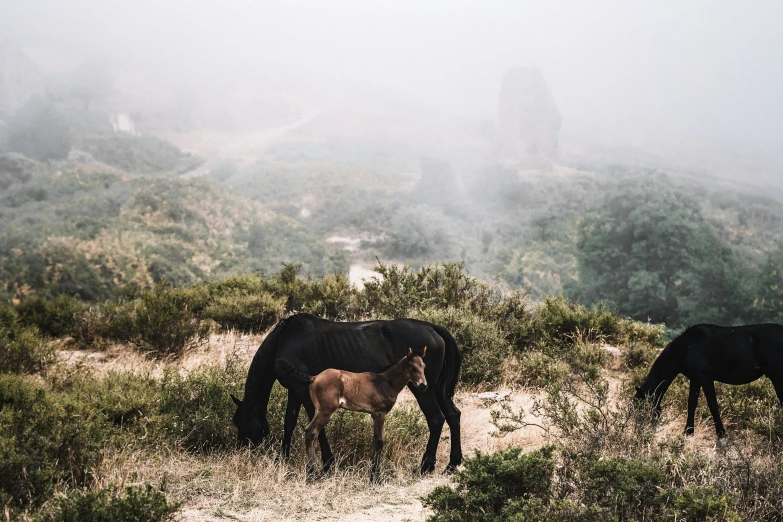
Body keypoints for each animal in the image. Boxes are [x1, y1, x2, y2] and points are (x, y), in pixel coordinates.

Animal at [294, 346, 428, 480]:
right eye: (412, 367)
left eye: (423, 366)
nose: (424, 385)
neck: (386, 382)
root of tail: (315, 377)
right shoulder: (380, 414)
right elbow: (379, 441)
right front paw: (375, 476)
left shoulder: (374, 415)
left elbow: (375, 440)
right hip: (326, 411)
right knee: (311, 432)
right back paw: (312, 472)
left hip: (318, 410)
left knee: (309, 432)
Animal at [636, 320, 783, 434]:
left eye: (640, 405)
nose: (640, 426)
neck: (686, 347)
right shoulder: (695, 379)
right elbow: (692, 403)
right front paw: (688, 430)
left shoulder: (705, 378)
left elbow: (713, 404)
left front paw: (720, 432)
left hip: (777, 376)